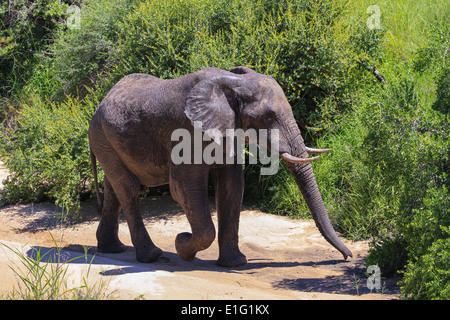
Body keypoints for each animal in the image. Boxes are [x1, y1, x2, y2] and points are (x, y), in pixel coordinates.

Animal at [89, 66, 354, 266]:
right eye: (268, 118)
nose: (347, 256)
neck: (233, 83)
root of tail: (100, 102)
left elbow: (232, 186)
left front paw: (235, 264)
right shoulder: (187, 132)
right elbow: (184, 189)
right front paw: (181, 244)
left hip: (107, 141)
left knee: (114, 189)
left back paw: (112, 248)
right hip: (101, 135)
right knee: (129, 190)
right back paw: (151, 256)